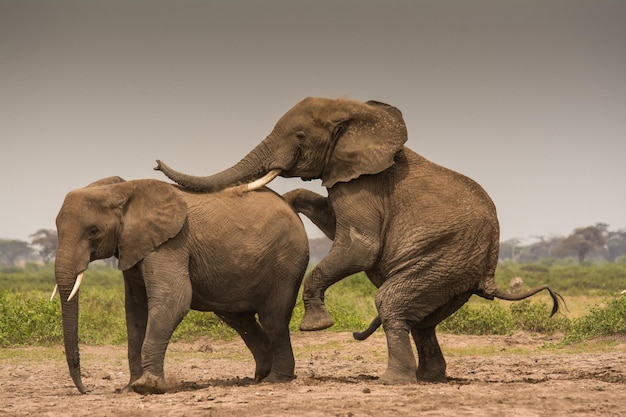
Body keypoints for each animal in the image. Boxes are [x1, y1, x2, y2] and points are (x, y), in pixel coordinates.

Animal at [51, 176, 310, 394]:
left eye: (93, 231)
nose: (86, 390)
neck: (122, 189)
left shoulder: (170, 243)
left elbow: (173, 299)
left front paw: (148, 386)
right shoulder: (133, 247)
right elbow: (135, 311)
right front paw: (130, 388)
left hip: (286, 262)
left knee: (273, 319)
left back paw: (276, 379)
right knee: (238, 318)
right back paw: (259, 376)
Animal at [152, 97, 560, 384]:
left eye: (299, 137)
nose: (155, 163)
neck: (359, 117)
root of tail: (489, 274)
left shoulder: (366, 185)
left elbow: (360, 247)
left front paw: (316, 325)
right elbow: (332, 222)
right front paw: (289, 203)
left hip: (442, 259)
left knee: (392, 301)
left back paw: (393, 381)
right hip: (450, 274)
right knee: (422, 321)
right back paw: (429, 377)